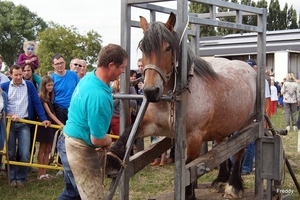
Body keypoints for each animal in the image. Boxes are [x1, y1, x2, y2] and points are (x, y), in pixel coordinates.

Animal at [105, 12, 255, 198]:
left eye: (168, 48)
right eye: (143, 48)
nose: (151, 91)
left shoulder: (194, 138)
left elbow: (189, 169)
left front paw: (189, 195)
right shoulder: (152, 125)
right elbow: (129, 130)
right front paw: (112, 158)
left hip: (244, 125)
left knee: (239, 150)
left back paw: (234, 185)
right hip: (223, 126)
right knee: (223, 148)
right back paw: (221, 180)